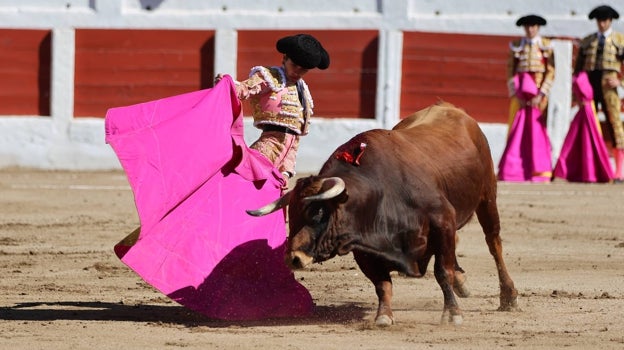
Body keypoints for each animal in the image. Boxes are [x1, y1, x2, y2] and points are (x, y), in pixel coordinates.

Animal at [247, 101, 516, 326]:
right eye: (291, 216)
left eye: (318, 214)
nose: (293, 258)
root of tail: (450, 108)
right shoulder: (365, 250)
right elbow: (383, 284)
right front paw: (384, 316)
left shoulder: (443, 221)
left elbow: (442, 271)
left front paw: (452, 314)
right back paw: (463, 282)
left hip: (487, 197)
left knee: (494, 243)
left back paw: (509, 296)